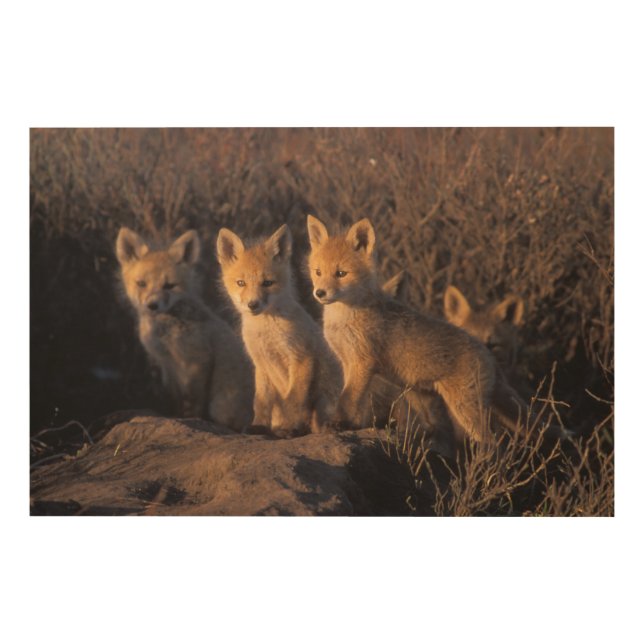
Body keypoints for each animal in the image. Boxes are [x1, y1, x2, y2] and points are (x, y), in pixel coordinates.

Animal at [116, 227, 253, 429]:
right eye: (141, 284)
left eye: (169, 286)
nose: (152, 305)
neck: (166, 337)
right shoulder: (168, 366)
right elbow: (176, 399)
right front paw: (175, 417)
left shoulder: (196, 362)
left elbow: (191, 402)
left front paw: (190, 420)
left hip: (221, 404)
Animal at [216, 224, 342, 436]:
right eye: (241, 283)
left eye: (267, 283)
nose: (253, 304)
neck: (266, 333)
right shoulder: (261, 364)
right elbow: (261, 403)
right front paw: (258, 426)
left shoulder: (301, 357)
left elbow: (292, 401)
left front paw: (288, 428)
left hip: (324, 398)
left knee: (320, 424)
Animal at [307, 215, 526, 443]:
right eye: (318, 272)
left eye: (341, 273)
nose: (319, 293)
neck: (343, 319)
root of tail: (488, 355)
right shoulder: (347, 362)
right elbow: (354, 401)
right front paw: (352, 425)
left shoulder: (362, 362)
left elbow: (347, 400)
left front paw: (337, 424)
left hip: (464, 408)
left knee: (492, 442)